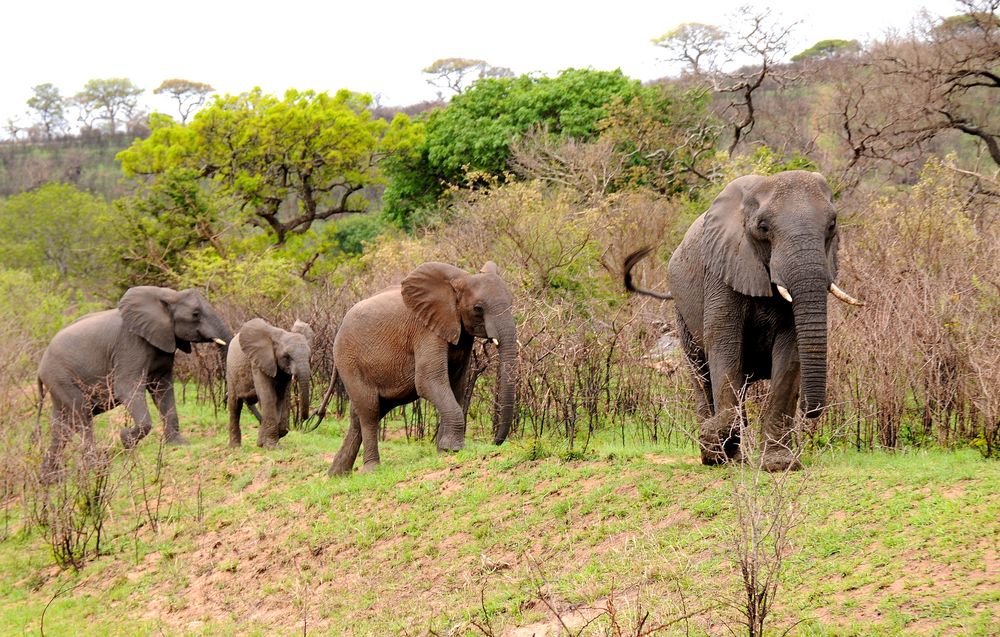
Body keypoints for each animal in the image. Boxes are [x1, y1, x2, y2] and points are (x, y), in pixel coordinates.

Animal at [36, 286, 231, 474]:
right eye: (195, 314)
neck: (167, 295)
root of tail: (40, 367)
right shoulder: (130, 344)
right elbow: (126, 388)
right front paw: (125, 439)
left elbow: (163, 389)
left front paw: (179, 443)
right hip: (60, 377)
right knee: (82, 415)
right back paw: (95, 466)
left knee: (63, 425)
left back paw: (50, 477)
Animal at [226, 318, 312, 448]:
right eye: (287, 356)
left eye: (309, 356)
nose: (304, 418)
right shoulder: (258, 362)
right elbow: (268, 396)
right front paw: (271, 447)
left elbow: (279, 398)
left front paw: (264, 443)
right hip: (230, 370)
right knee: (235, 405)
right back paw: (235, 447)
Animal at [314, 260, 520, 474]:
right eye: (478, 308)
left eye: (511, 303)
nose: (495, 442)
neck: (459, 281)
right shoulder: (425, 331)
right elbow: (428, 382)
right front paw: (453, 449)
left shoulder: (460, 333)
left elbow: (456, 386)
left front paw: (444, 452)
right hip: (349, 361)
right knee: (369, 411)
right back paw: (371, 470)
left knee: (361, 415)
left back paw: (337, 475)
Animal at [620, 171, 864, 470]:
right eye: (763, 227)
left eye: (832, 225)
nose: (811, 409)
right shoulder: (721, 271)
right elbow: (723, 344)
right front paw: (717, 442)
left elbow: (790, 354)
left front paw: (779, 465)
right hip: (682, 312)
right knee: (701, 374)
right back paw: (718, 457)